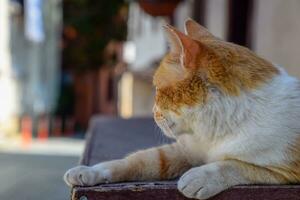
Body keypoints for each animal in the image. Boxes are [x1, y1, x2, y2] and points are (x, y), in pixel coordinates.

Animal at [63, 18, 300, 198]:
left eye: (157, 89)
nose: (153, 113)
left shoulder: (284, 172)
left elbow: (235, 165)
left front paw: (200, 176)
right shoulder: (183, 151)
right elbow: (133, 161)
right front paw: (88, 171)